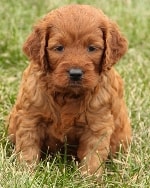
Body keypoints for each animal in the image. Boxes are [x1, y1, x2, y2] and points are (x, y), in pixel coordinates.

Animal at [8, 4, 132, 175]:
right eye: (59, 48)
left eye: (92, 48)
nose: (75, 73)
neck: (67, 95)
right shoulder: (30, 118)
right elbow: (28, 149)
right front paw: (26, 173)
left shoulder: (97, 126)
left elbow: (93, 157)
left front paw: (89, 178)